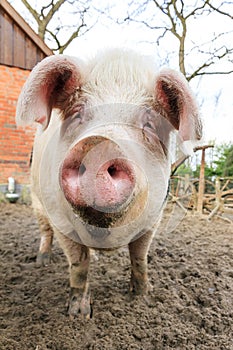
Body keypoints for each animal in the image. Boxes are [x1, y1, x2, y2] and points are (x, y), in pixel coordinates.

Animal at [16, 47, 202, 318]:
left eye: (150, 123)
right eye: (77, 113)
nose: (99, 145)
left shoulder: (154, 219)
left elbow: (139, 258)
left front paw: (143, 297)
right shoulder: (60, 220)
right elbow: (78, 264)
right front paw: (78, 315)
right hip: (37, 200)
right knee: (44, 231)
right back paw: (42, 261)